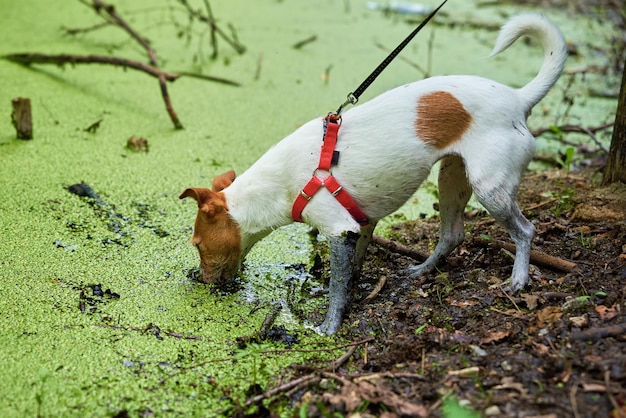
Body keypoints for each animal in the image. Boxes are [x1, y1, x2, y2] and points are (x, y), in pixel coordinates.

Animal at [179, 13, 564, 334]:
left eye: (197, 244)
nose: (198, 280)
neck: (277, 185)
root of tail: (518, 99)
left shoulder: (338, 229)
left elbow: (337, 287)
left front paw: (329, 327)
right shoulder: (361, 224)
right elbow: (350, 270)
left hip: (490, 188)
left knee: (525, 230)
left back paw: (518, 279)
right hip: (452, 178)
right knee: (454, 234)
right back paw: (423, 270)